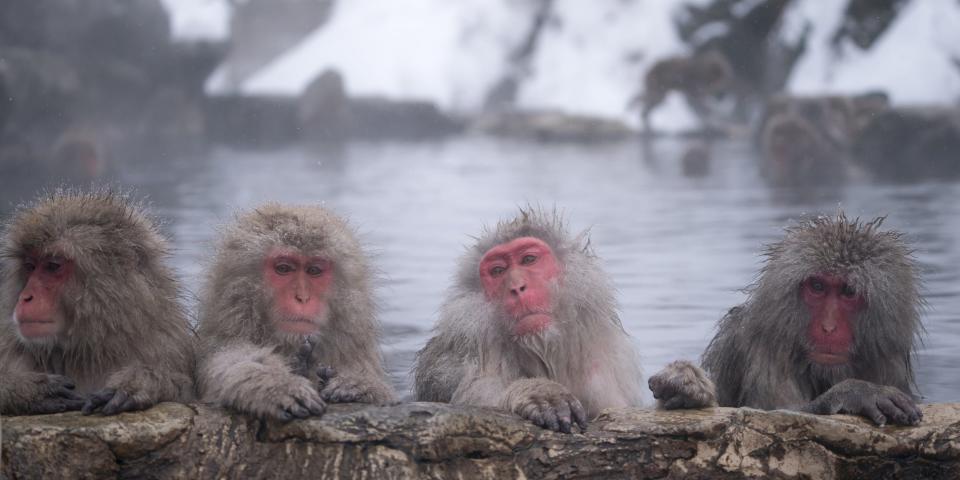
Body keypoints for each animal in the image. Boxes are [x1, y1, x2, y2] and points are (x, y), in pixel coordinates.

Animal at [0, 190, 195, 416]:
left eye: (52, 266)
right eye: (30, 266)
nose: (25, 296)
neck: (86, 349)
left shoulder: (168, 343)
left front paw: (138, 383)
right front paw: (25, 390)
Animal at [648, 214, 928, 428]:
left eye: (848, 291)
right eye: (817, 287)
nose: (828, 327)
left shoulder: (887, 359)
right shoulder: (766, 349)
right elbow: (773, 413)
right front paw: (855, 392)